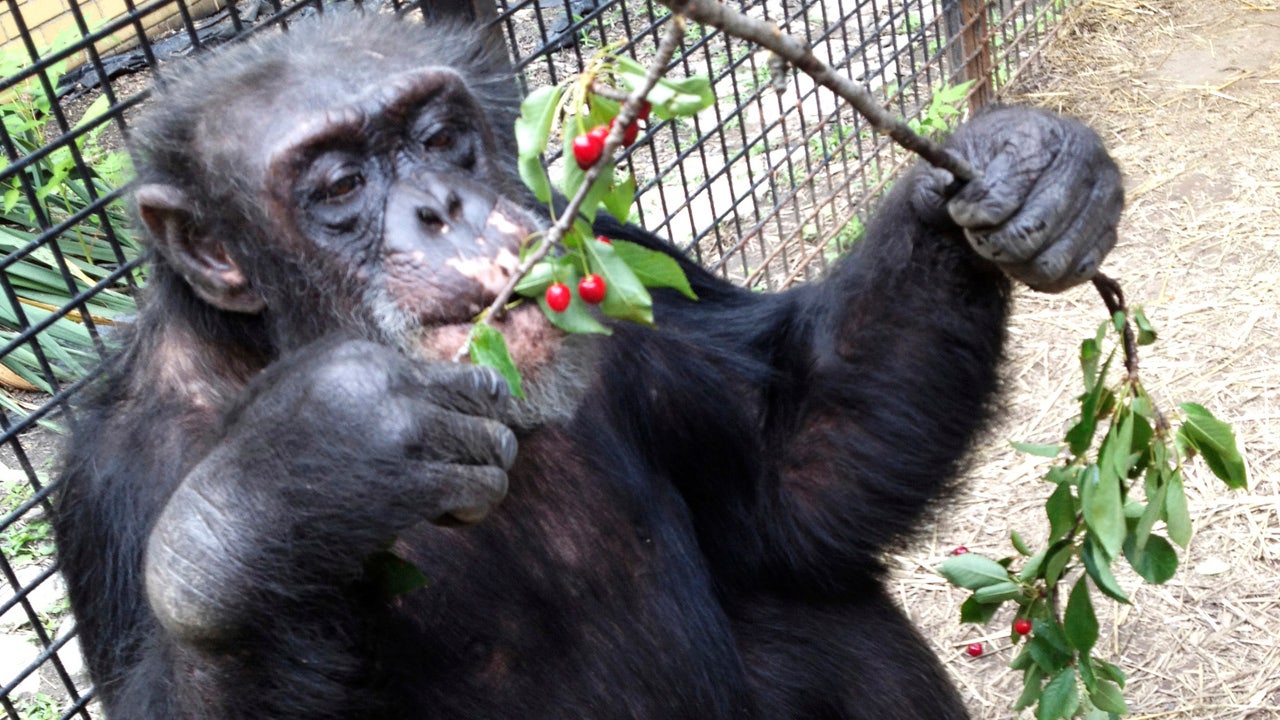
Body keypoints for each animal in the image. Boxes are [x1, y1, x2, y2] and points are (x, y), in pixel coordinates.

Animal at [52, 11, 1121, 717]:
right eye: (340, 186)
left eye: (441, 138)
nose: (442, 206)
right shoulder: (123, 472)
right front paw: (292, 481)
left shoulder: (606, 251)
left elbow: (792, 482)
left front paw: (1024, 166)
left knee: (821, 621)